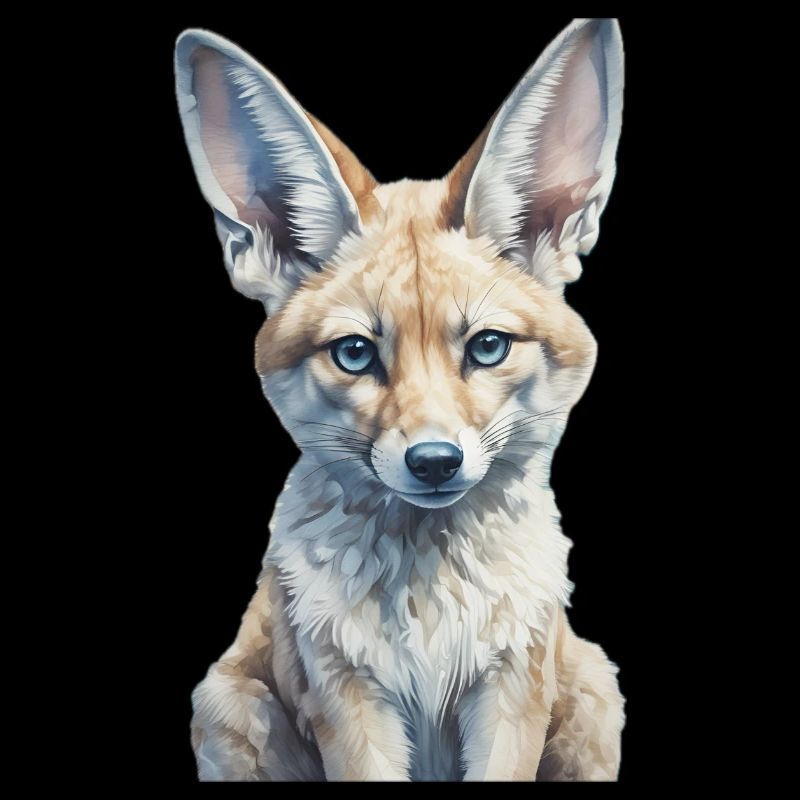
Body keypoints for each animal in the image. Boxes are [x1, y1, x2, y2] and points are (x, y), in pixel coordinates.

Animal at [175, 17, 625, 781]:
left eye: (487, 347)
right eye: (356, 353)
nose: (435, 461)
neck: (431, 608)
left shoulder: (512, 689)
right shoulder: (347, 698)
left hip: (595, 692)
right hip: (226, 706)